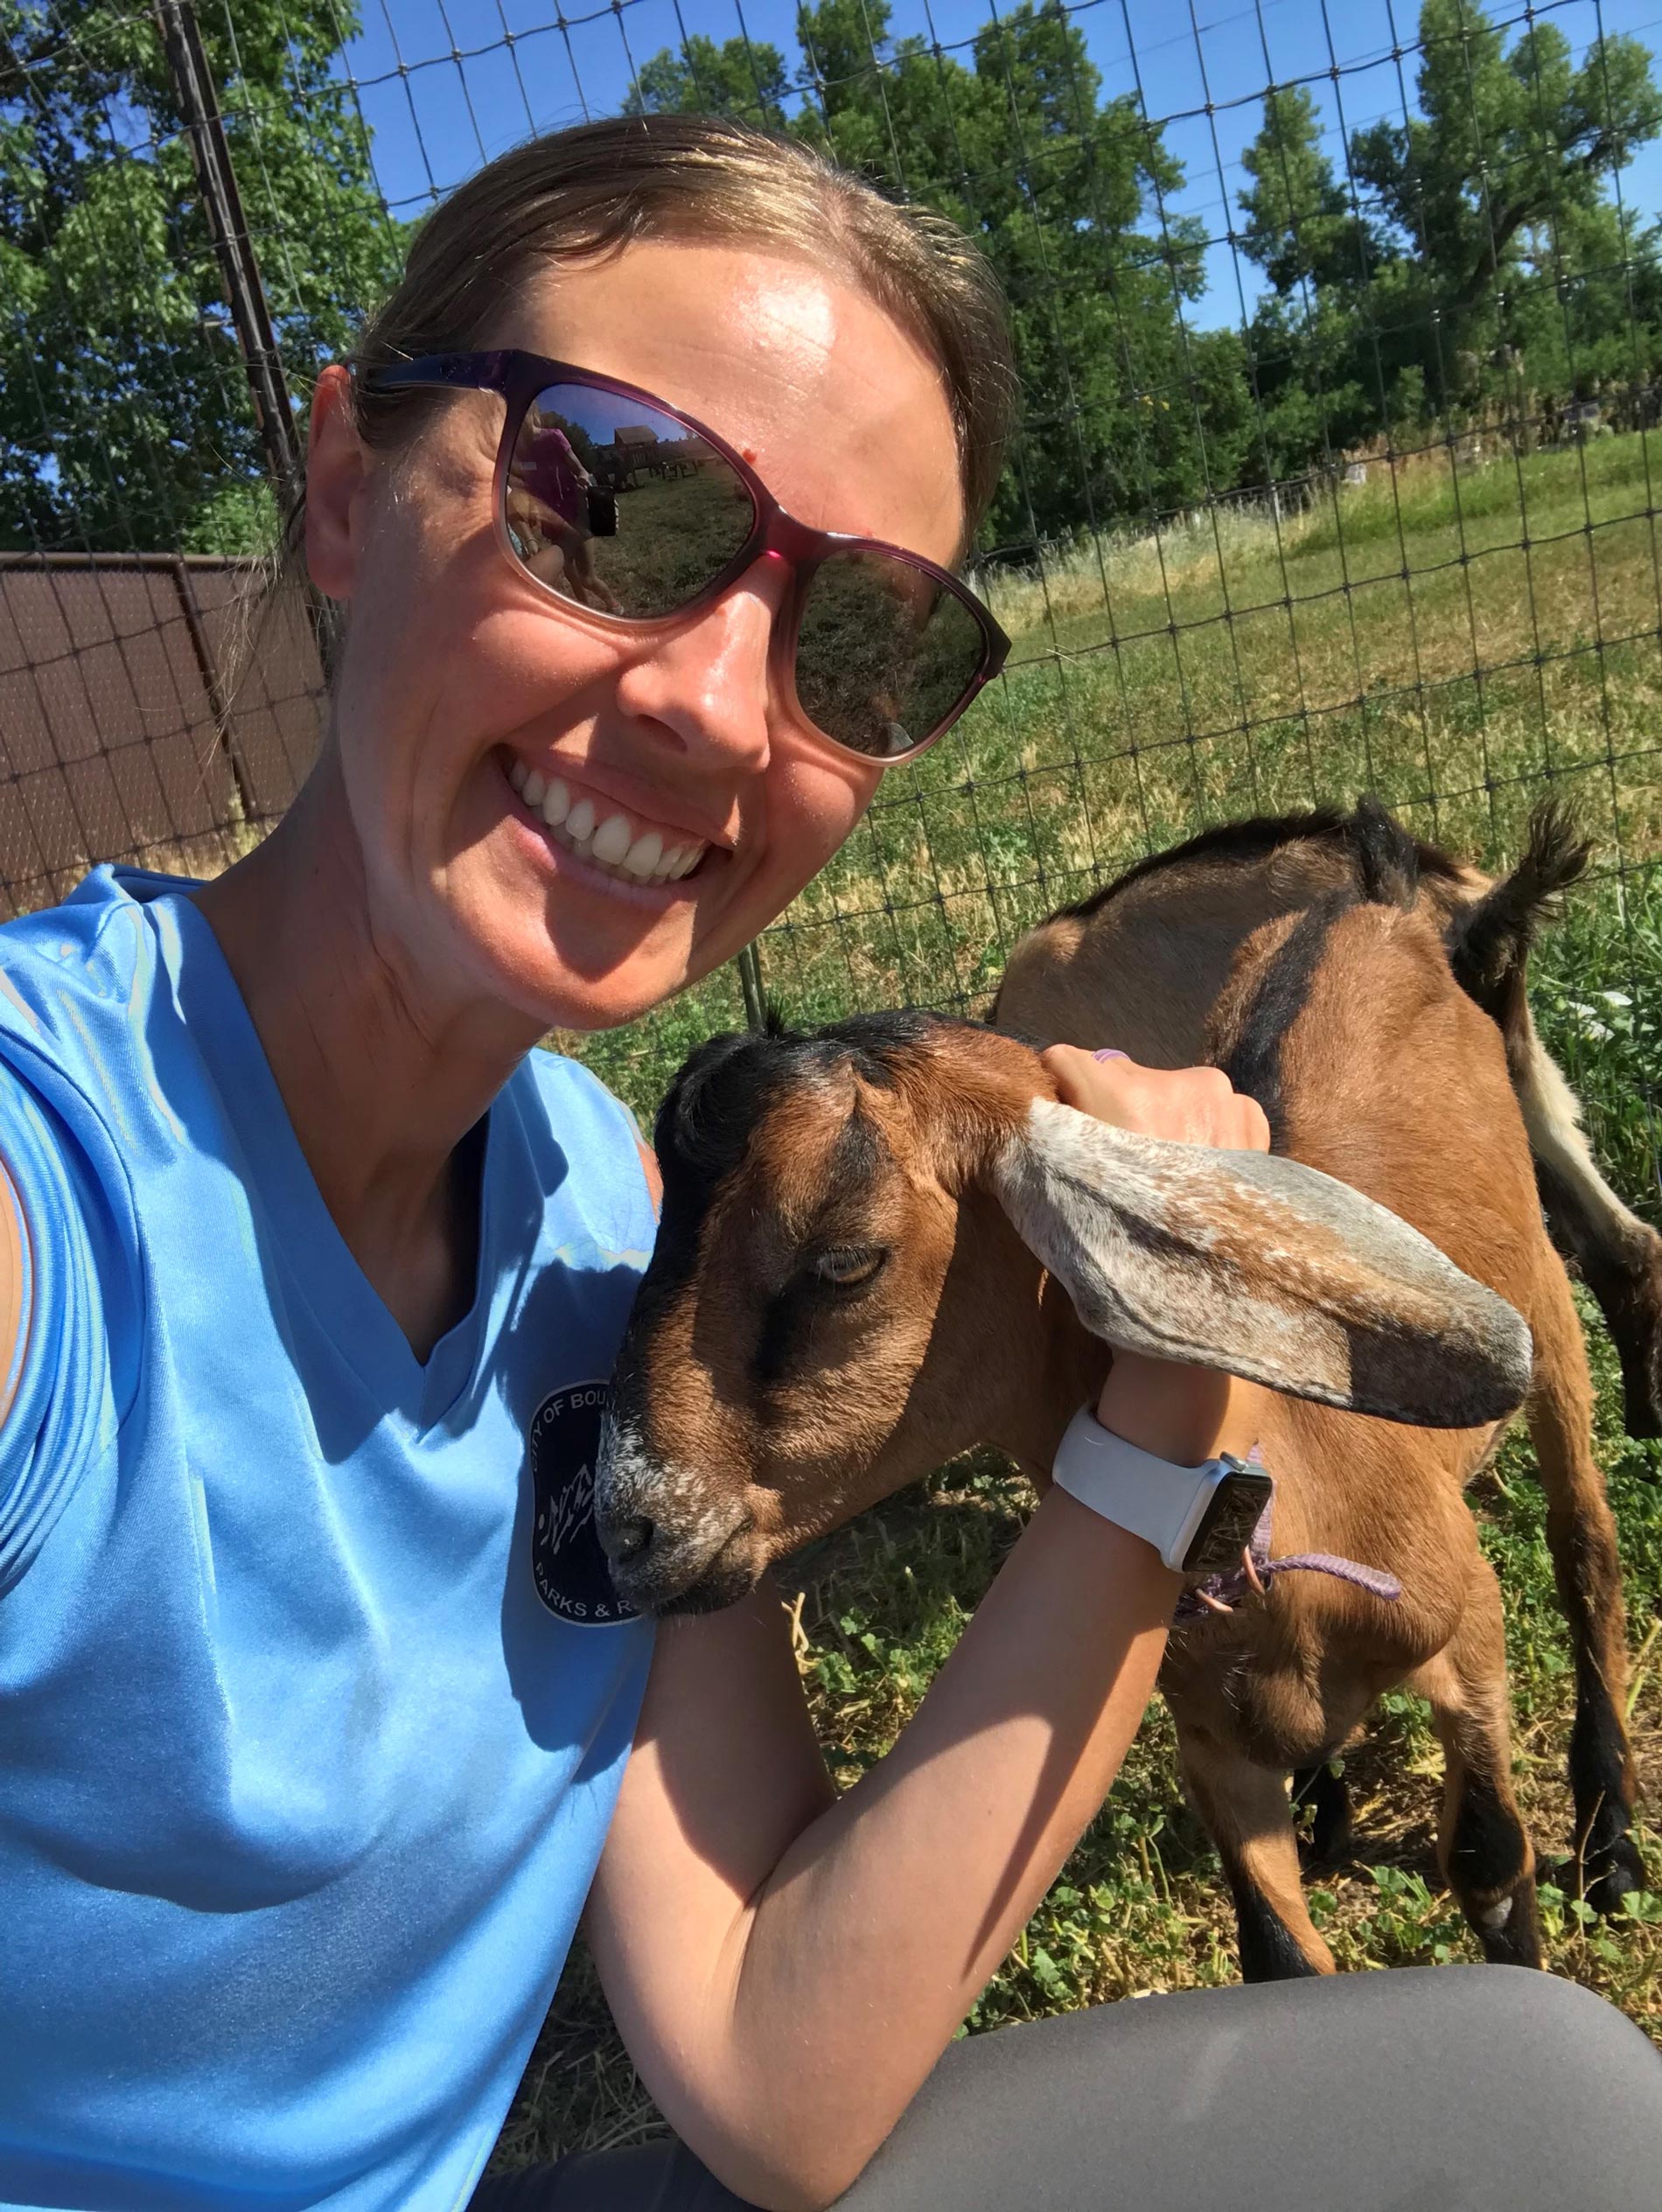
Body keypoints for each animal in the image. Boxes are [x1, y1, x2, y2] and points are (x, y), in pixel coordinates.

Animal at [593, 805, 1638, 1981]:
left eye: (843, 1261)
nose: (626, 1530)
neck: (1290, 1487)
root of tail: (1382, 881)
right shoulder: (1206, 1739)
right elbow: (1274, 1951)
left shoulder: (1468, 1640)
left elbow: (1489, 1865)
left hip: (1539, 1286)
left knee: (1584, 1530)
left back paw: (1612, 1841)